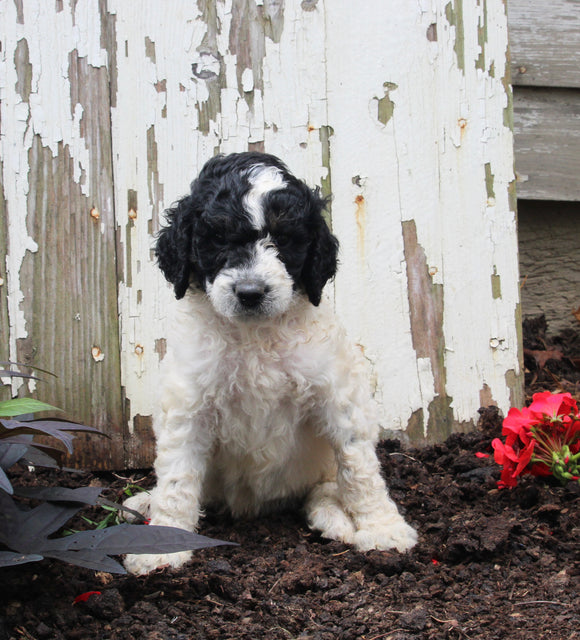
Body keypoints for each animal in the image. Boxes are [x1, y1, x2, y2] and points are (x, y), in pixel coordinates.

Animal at [123, 151, 416, 576]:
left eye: (283, 240)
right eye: (218, 238)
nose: (250, 292)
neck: (254, 337)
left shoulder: (338, 398)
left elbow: (359, 467)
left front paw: (383, 529)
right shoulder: (189, 405)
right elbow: (177, 479)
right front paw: (162, 546)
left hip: (319, 469)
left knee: (327, 488)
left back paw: (335, 519)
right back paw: (143, 502)